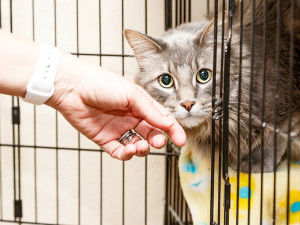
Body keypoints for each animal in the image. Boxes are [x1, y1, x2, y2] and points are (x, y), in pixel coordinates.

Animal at [124, 0, 300, 173]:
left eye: (204, 75)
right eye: (166, 80)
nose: (187, 104)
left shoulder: (286, 108)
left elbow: (274, 137)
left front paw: (254, 164)